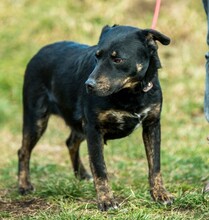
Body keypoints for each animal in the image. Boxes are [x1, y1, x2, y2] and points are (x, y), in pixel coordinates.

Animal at [18, 24, 174, 211]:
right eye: (97, 56)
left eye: (118, 59)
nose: (89, 85)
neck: (130, 94)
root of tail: (39, 52)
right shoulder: (93, 128)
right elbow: (99, 167)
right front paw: (106, 201)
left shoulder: (152, 125)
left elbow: (155, 165)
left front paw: (160, 194)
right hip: (37, 118)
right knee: (23, 151)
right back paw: (24, 185)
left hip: (77, 124)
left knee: (70, 142)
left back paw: (82, 174)